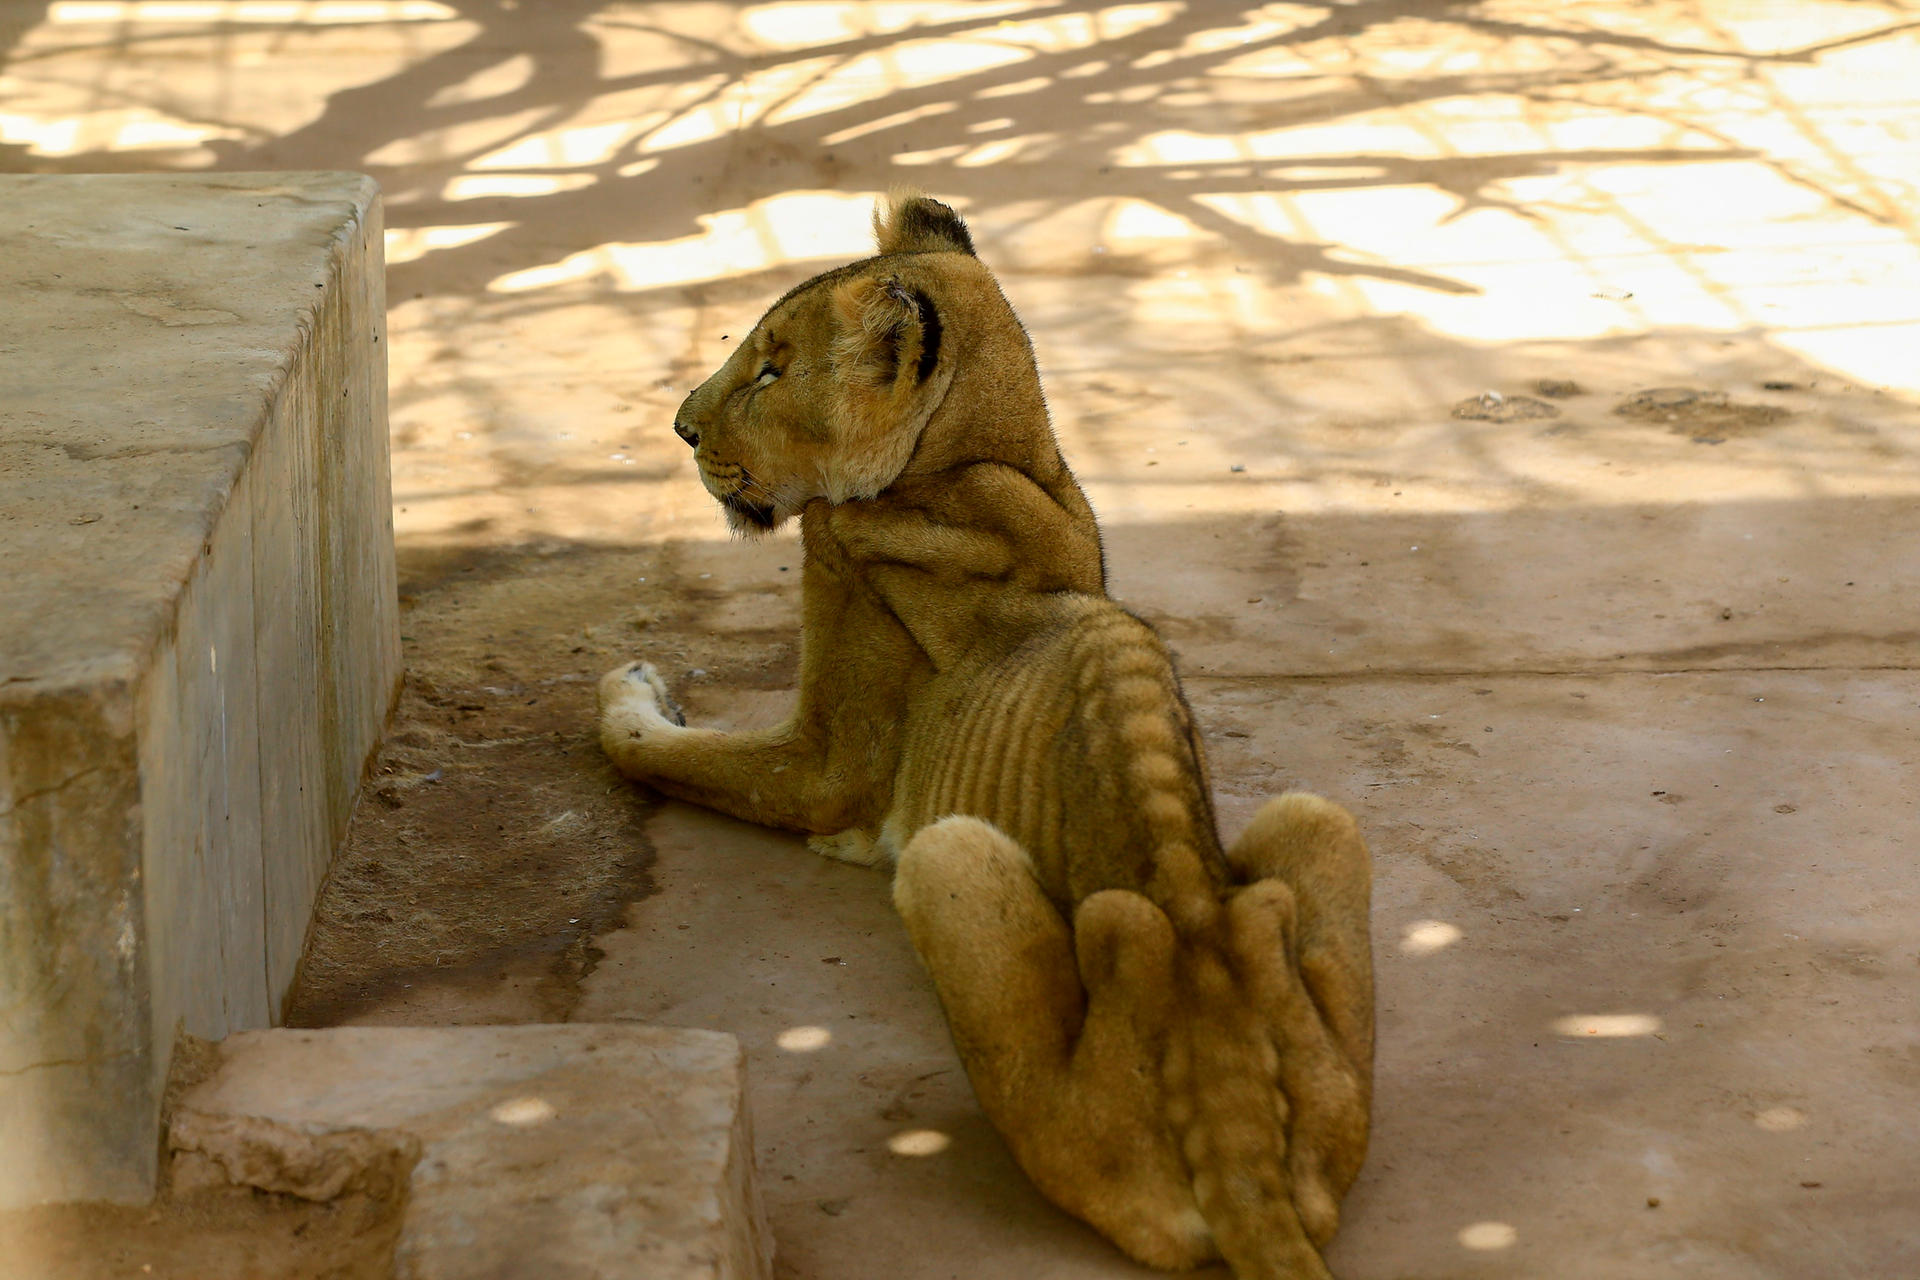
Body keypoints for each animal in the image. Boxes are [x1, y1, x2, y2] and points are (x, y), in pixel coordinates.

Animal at [599, 192, 1374, 1279]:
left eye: (773, 369)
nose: (679, 428)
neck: (995, 459)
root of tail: (1242, 1143)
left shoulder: (825, 758)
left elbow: (664, 750)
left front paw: (626, 687)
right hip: (1322, 830)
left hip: (947, 861)